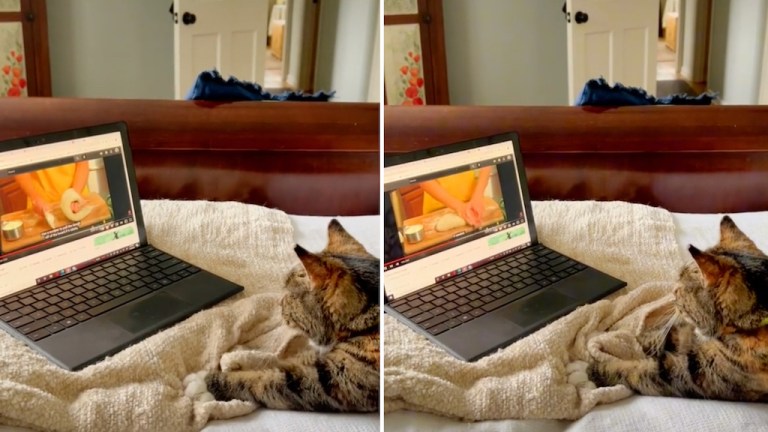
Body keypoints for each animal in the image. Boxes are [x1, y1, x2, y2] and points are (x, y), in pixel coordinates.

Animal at [188, 219, 380, 412]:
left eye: (289, 295)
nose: (280, 303)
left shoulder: (335, 381)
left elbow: (262, 380)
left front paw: (203, 384)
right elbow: (276, 361)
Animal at [580, 216, 768, 402]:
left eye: (680, 289)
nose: (672, 291)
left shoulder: (694, 375)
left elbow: (637, 372)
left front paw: (597, 369)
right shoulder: (689, 338)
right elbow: (661, 337)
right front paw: (624, 340)